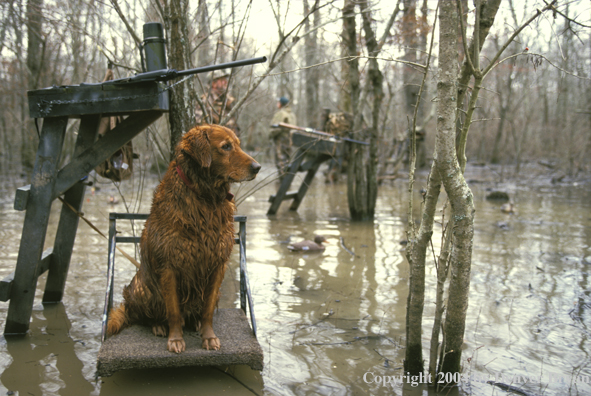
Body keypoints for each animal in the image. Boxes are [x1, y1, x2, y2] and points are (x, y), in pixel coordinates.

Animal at [108, 124, 262, 352]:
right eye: (226, 147)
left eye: (238, 145)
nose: (257, 167)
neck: (205, 198)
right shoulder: (169, 265)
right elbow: (173, 311)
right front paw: (175, 340)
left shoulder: (217, 264)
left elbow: (208, 309)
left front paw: (208, 336)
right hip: (142, 288)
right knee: (146, 314)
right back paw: (158, 326)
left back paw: (194, 322)